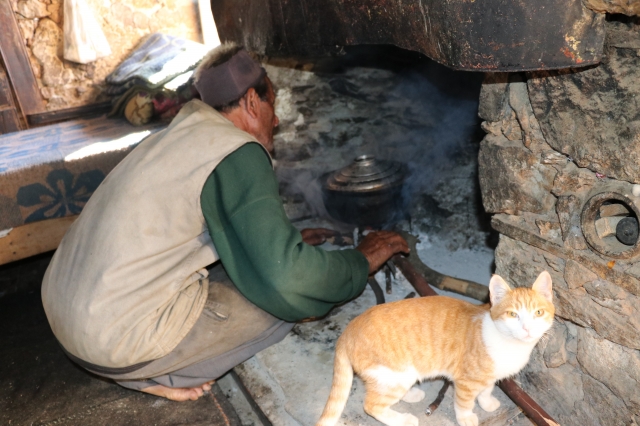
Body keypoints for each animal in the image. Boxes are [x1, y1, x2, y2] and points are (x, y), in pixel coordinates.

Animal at [316, 272, 556, 424]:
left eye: (538, 313)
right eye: (513, 314)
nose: (527, 328)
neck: (510, 345)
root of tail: (349, 329)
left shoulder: (489, 377)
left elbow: (486, 390)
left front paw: (487, 403)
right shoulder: (466, 381)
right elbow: (464, 402)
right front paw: (466, 417)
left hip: (396, 377)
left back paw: (412, 395)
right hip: (395, 375)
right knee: (372, 405)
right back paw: (403, 420)